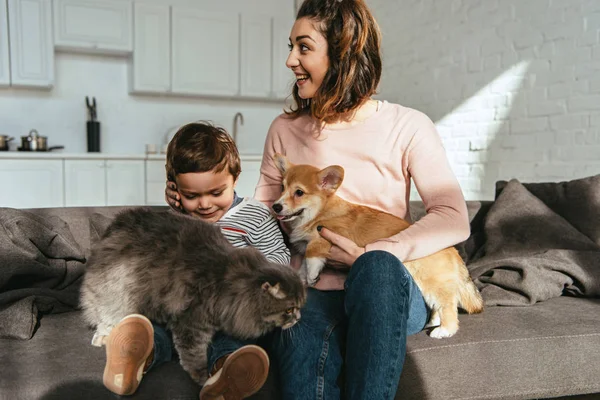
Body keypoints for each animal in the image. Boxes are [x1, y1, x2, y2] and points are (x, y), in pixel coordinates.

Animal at [79, 208, 304, 382]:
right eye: (290, 310)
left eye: (299, 307)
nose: (298, 318)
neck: (233, 283)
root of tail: (118, 222)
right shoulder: (192, 323)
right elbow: (194, 355)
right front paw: (202, 377)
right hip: (117, 289)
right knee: (105, 314)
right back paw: (109, 340)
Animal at [270, 153, 482, 338]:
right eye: (281, 188)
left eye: (299, 192)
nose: (275, 206)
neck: (319, 212)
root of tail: (452, 250)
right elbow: (302, 266)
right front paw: (303, 278)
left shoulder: (329, 234)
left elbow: (312, 252)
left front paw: (312, 274)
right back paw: (433, 322)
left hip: (431, 282)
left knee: (449, 305)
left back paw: (444, 330)